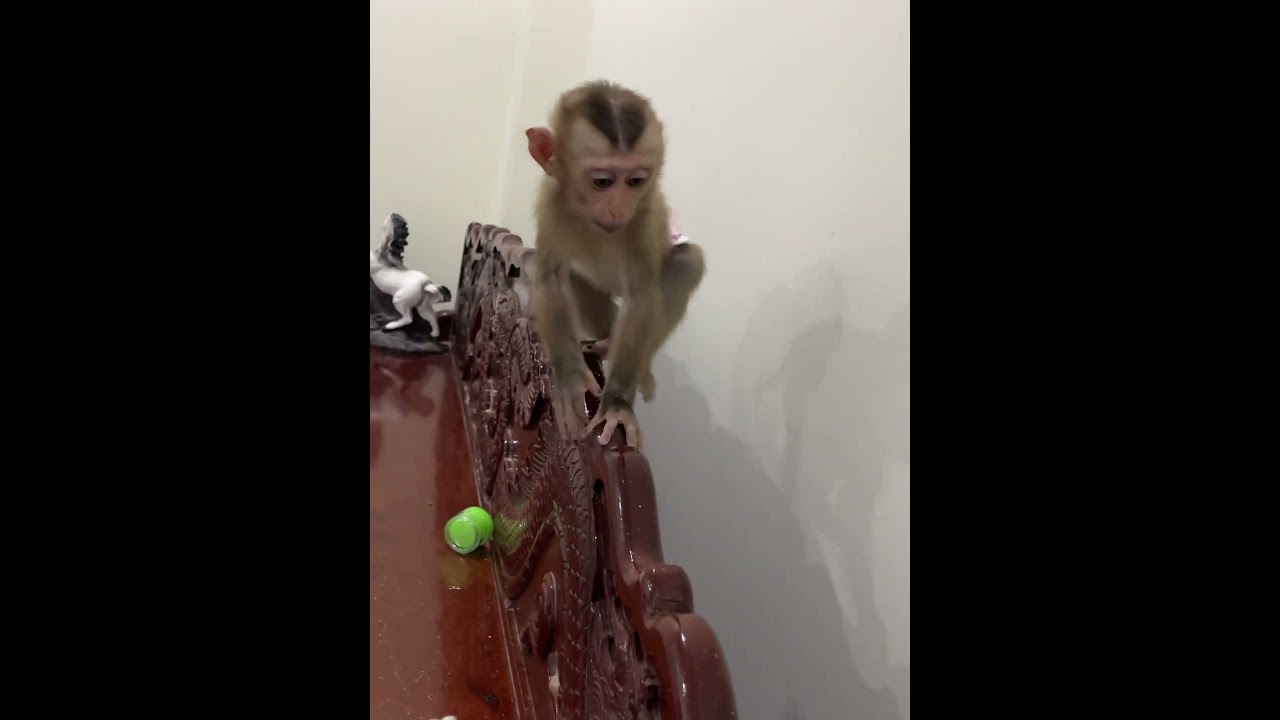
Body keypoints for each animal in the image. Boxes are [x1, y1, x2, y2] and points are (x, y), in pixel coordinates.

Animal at [525, 80, 705, 450]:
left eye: (636, 181)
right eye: (602, 181)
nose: (620, 207)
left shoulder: (643, 215)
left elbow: (641, 299)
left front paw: (618, 404)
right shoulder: (552, 200)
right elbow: (551, 280)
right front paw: (569, 375)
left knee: (685, 263)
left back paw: (640, 366)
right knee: (578, 282)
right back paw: (607, 340)